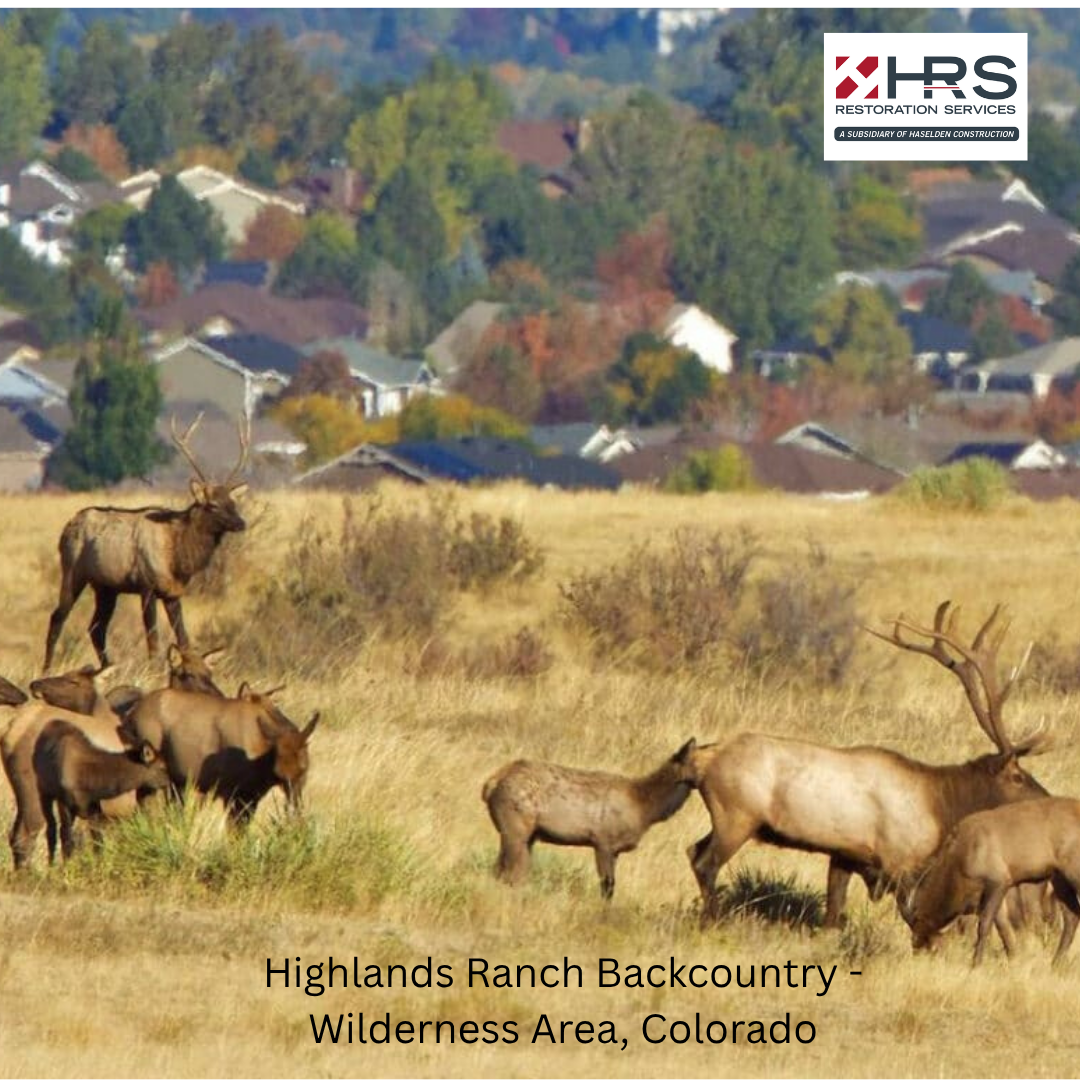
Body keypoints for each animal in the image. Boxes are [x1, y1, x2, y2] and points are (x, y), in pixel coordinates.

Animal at [32, 719, 171, 863]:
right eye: (163, 767)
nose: (170, 781)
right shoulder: (63, 802)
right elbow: (66, 839)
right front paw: (67, 866)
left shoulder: (94, 807)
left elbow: (98, 842)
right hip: (43, 790)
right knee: (51, 829)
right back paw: (51, 863)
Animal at [42, 414, 249, 672]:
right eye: (212, 505)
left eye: (233, 503)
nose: (241, 523)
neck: (178, 560)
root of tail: (66, 528)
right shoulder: (146, 585)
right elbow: (154, 642)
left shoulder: (173, 593)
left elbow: (184, 640)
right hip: (72, 570)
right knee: (58, 616)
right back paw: (47, 669)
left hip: (106, 587)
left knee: (96, 627)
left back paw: (108, 667)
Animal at [482, 740, 696, 899]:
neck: (646, 810)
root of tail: (490, 784)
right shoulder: (603, 841)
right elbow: (607, 886)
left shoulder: (615, 849)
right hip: (515, 826)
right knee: (507, 871)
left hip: (528, 835)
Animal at [683, 601, 1049, 926]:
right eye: (1018, 776)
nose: (1046, 799)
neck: (941, 807)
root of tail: (703, 759)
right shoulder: (900, 864)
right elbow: (913, 918)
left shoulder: (845, 855)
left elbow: (833, 914)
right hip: (737, 816)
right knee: (705, 863)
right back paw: (713, 921)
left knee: (691, 850)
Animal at [901, 798, 1080, 966]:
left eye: (929, 945)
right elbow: (1003, 928)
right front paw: (1012, 959)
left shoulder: (998, 882)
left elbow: (984, 924)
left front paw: (975, 964)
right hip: (1059, 880)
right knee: (1072, 917)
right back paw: (1055, 964)